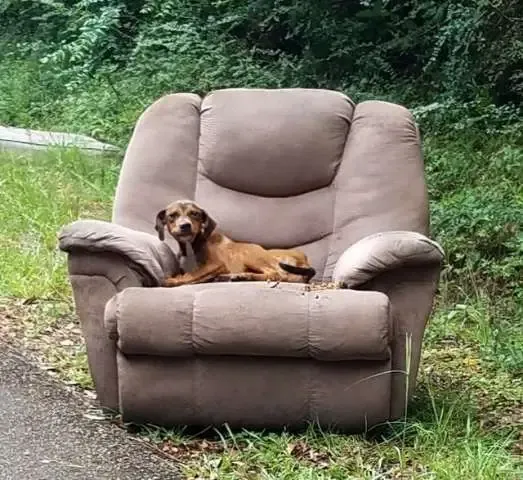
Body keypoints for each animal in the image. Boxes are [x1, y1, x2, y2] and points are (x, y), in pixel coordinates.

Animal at [154, 198, 318, 284]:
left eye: (195, 214)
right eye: (172, 215)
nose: (185, 226)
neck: (191, 246)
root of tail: (304, 260)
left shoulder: (216, 264)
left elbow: (192, 275)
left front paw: (171, 280)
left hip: (249, 253)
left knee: (275, 274)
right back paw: (238, 276)